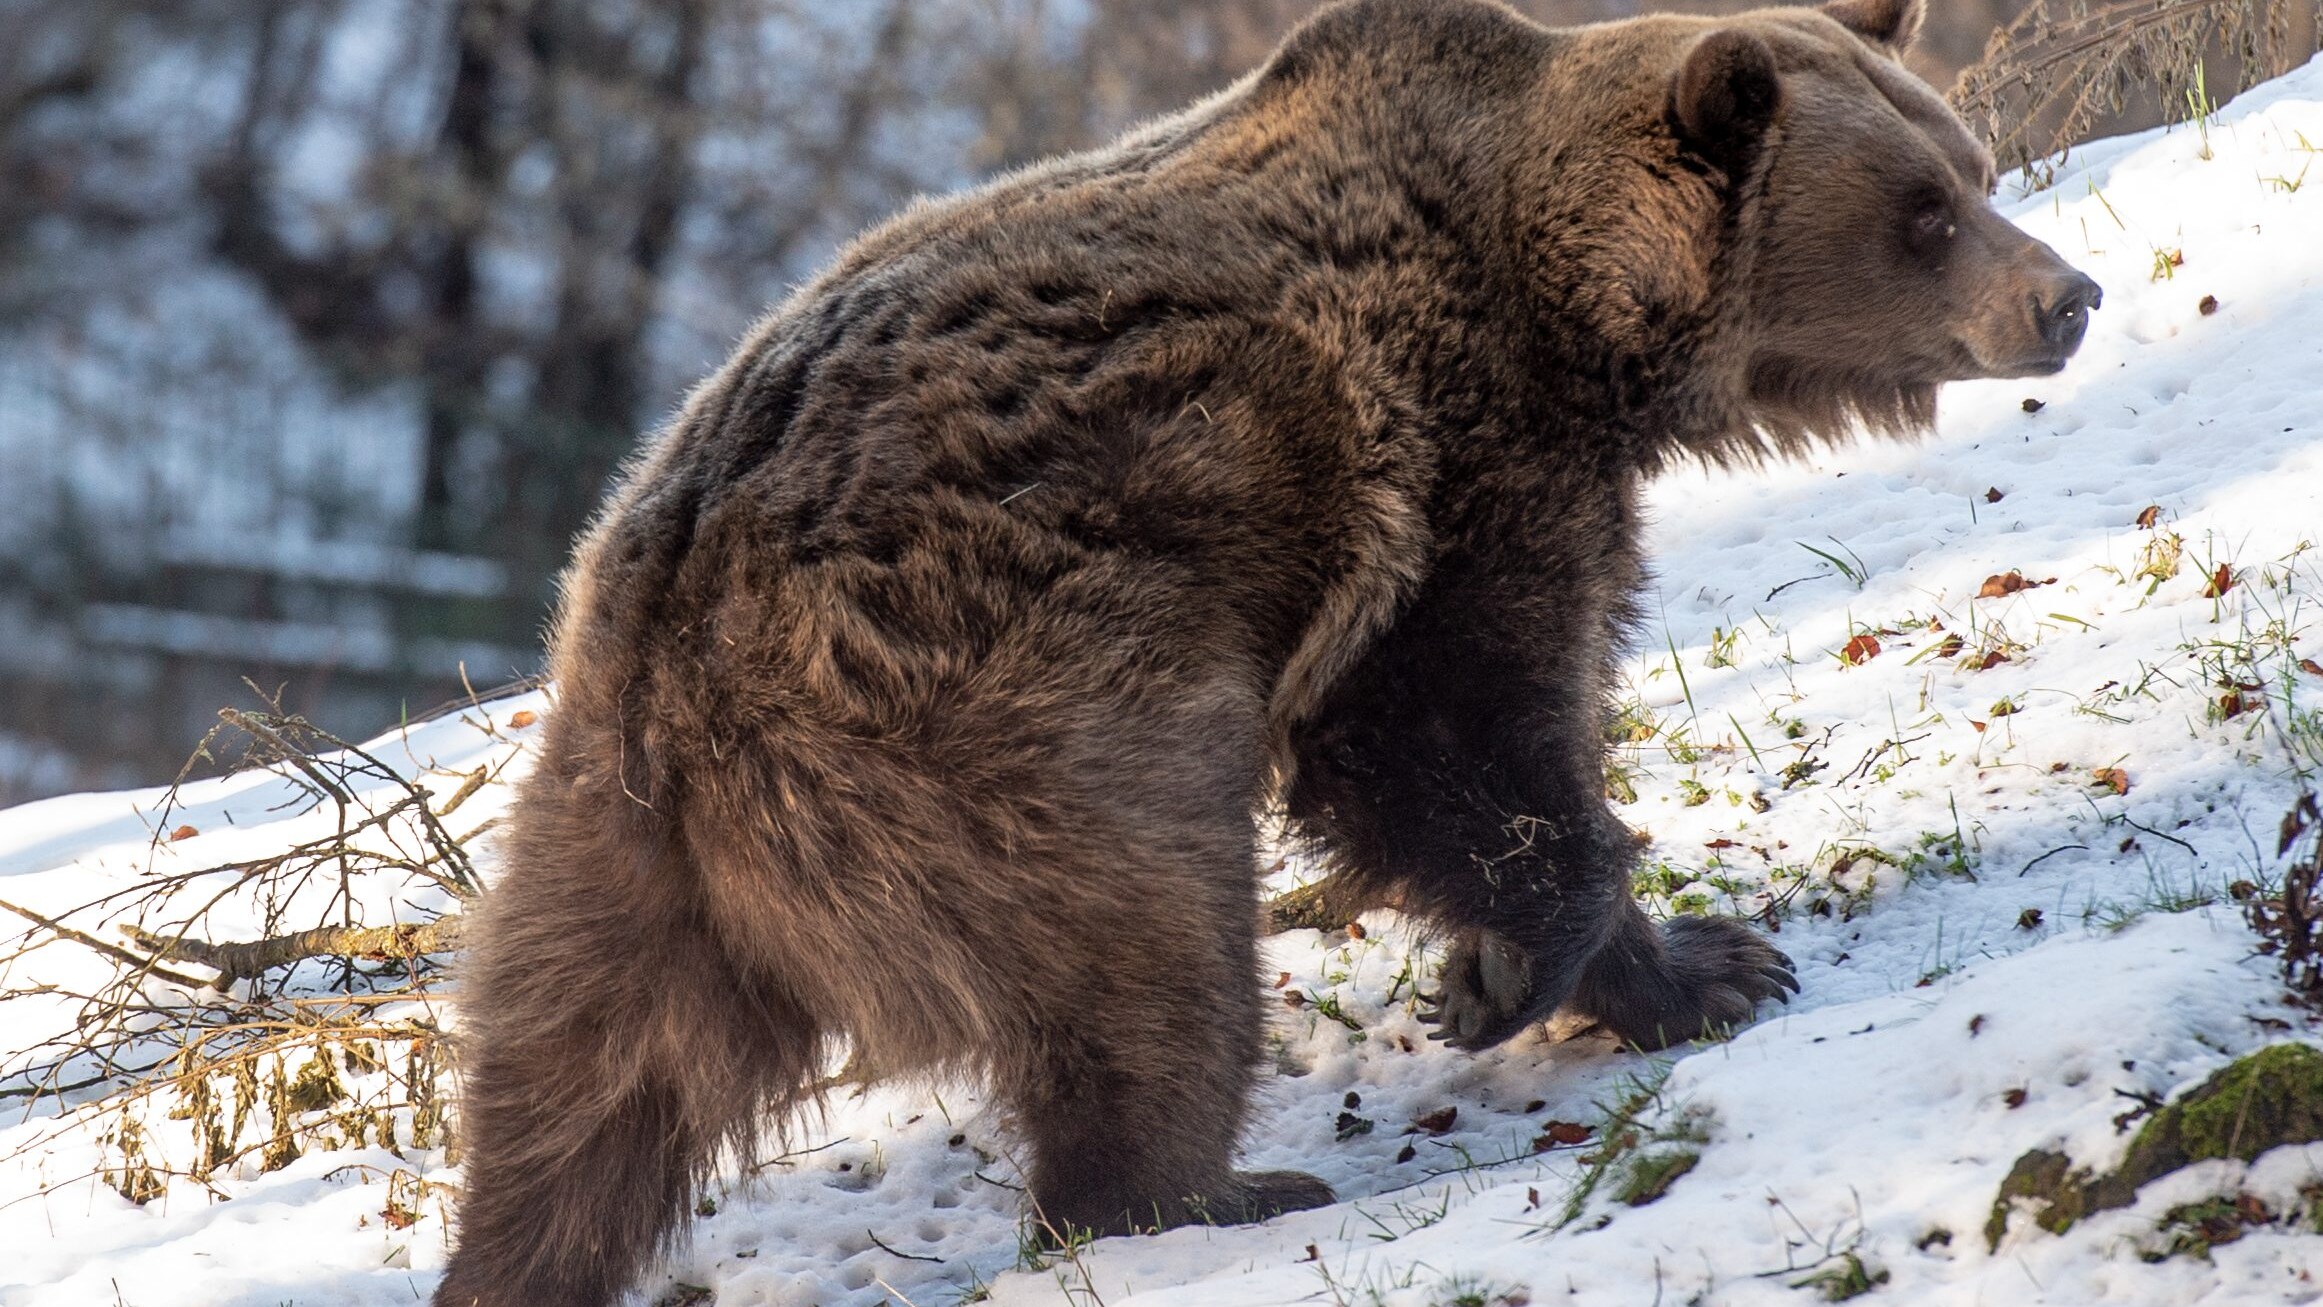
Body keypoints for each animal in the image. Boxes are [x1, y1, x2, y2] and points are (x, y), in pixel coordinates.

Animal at [433, 0, 2099, 1302]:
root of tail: (674, 650)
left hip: (600, 844)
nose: (2064, 295)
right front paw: (1535, 972)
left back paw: (514, 1257)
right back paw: (1198, 1189)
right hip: (994, 713)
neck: (1577, 319)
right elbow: (1457, 730)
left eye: (1965, 163)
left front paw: (1696, 962)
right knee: (1150, 943)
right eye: (1922, 210)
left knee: (570, 1090)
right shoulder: (1445, 468)